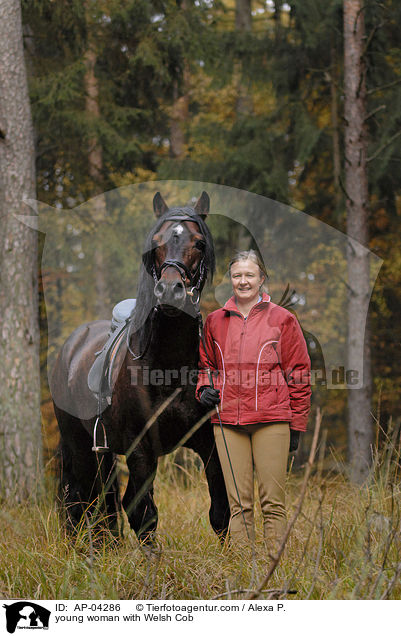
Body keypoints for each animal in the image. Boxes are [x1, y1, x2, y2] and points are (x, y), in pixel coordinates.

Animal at [50, 190, 228, 540]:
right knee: (79, 499)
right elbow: (144, 514)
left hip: (102, 449)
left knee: (105, 501)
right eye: (155, 243)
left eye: (199, 243)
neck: (169, 366)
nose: (170, 291)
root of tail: (70, 347)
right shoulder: (140, 448)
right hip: (78, 445)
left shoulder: (208, 443)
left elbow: (220, 512)